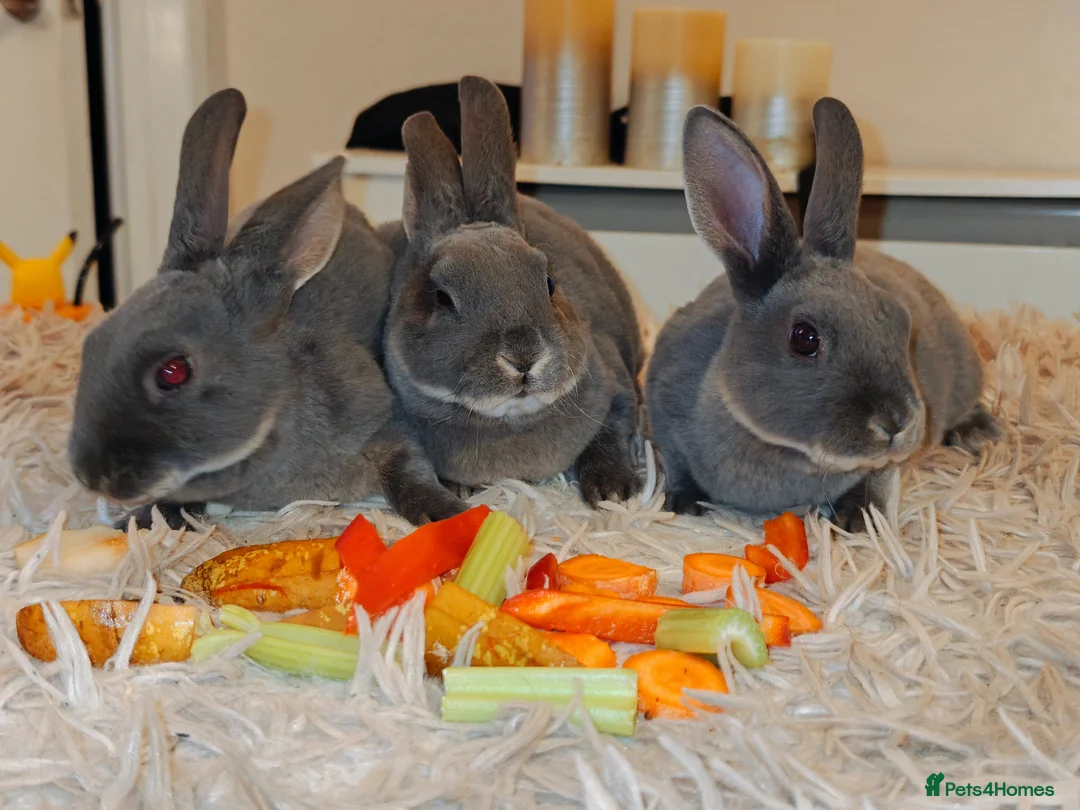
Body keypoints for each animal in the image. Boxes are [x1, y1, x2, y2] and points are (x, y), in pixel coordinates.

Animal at [68, 88, 467, 530]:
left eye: (173, 372)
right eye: (91, 345)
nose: (90, 475)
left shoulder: (385, 425)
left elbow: (410, 472)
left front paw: (451, 513)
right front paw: (133, 523)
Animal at [379, 76, 644, 506]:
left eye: (549, 282)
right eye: (442, 297)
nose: (524, 357)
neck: (511, 421)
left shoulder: (617, 387)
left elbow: (612, 434)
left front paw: (614, 491)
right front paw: (456, 488)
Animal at [646, 97, 999, 525]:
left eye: (901, 322)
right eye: (804, 338)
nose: (895, 424)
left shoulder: (882, 465)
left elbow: (876, 477)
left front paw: (856, 519)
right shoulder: (663, 416)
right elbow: (677, 464)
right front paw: (682, 503)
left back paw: (978, 433)